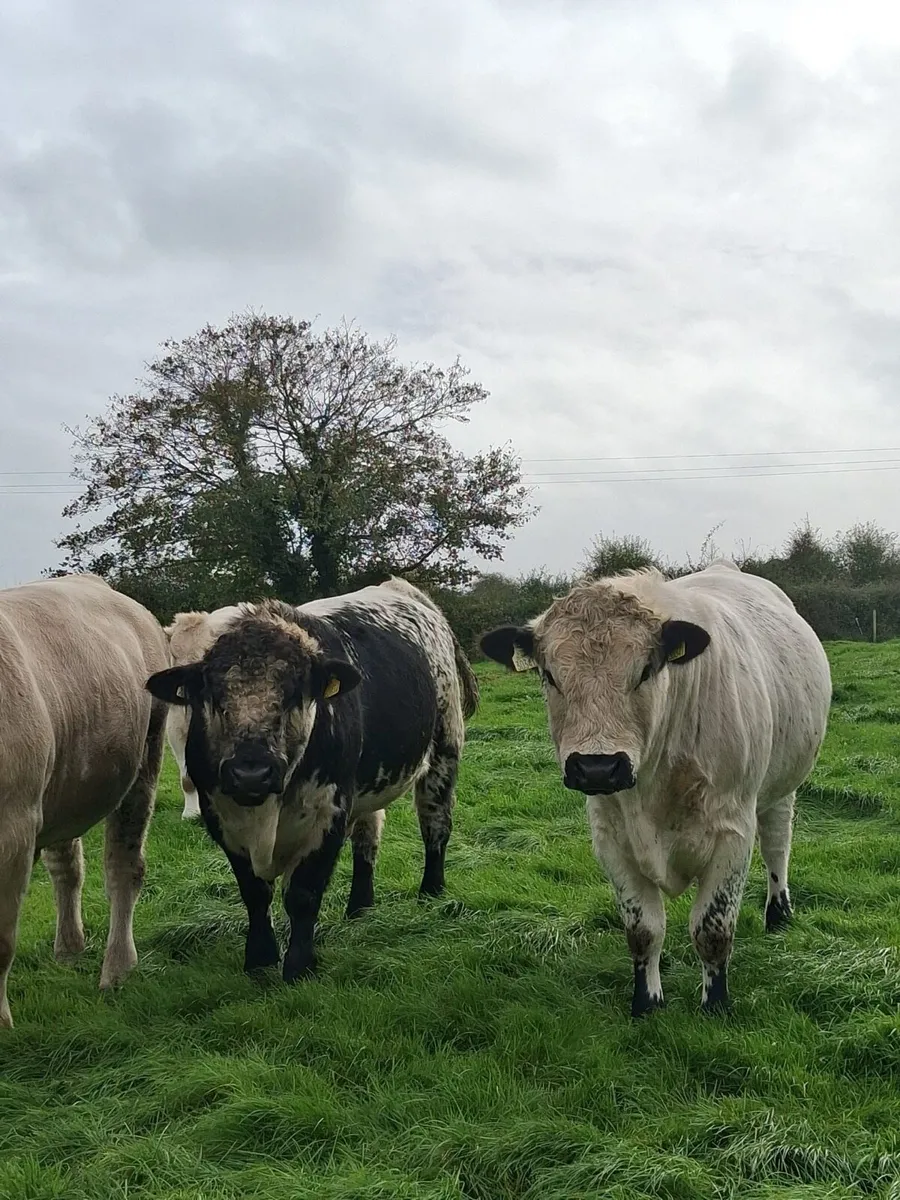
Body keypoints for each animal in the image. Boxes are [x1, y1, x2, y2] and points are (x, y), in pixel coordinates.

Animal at [0, 573, 169, 1028]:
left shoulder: (12, 829)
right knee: (67, 865)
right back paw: (69, 948)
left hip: (144, 759)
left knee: (123, 866)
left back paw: (117, 969)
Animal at [480, 561, 831, 1018]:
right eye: (549, 675)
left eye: (645, 670)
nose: (597, 767)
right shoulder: (610, 837)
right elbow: (643, 929)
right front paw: (646, 1001)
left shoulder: (733, 831)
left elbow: (713, 929)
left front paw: (716, 1003)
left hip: (782, 785)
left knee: (777, 842)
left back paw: (779, 912)